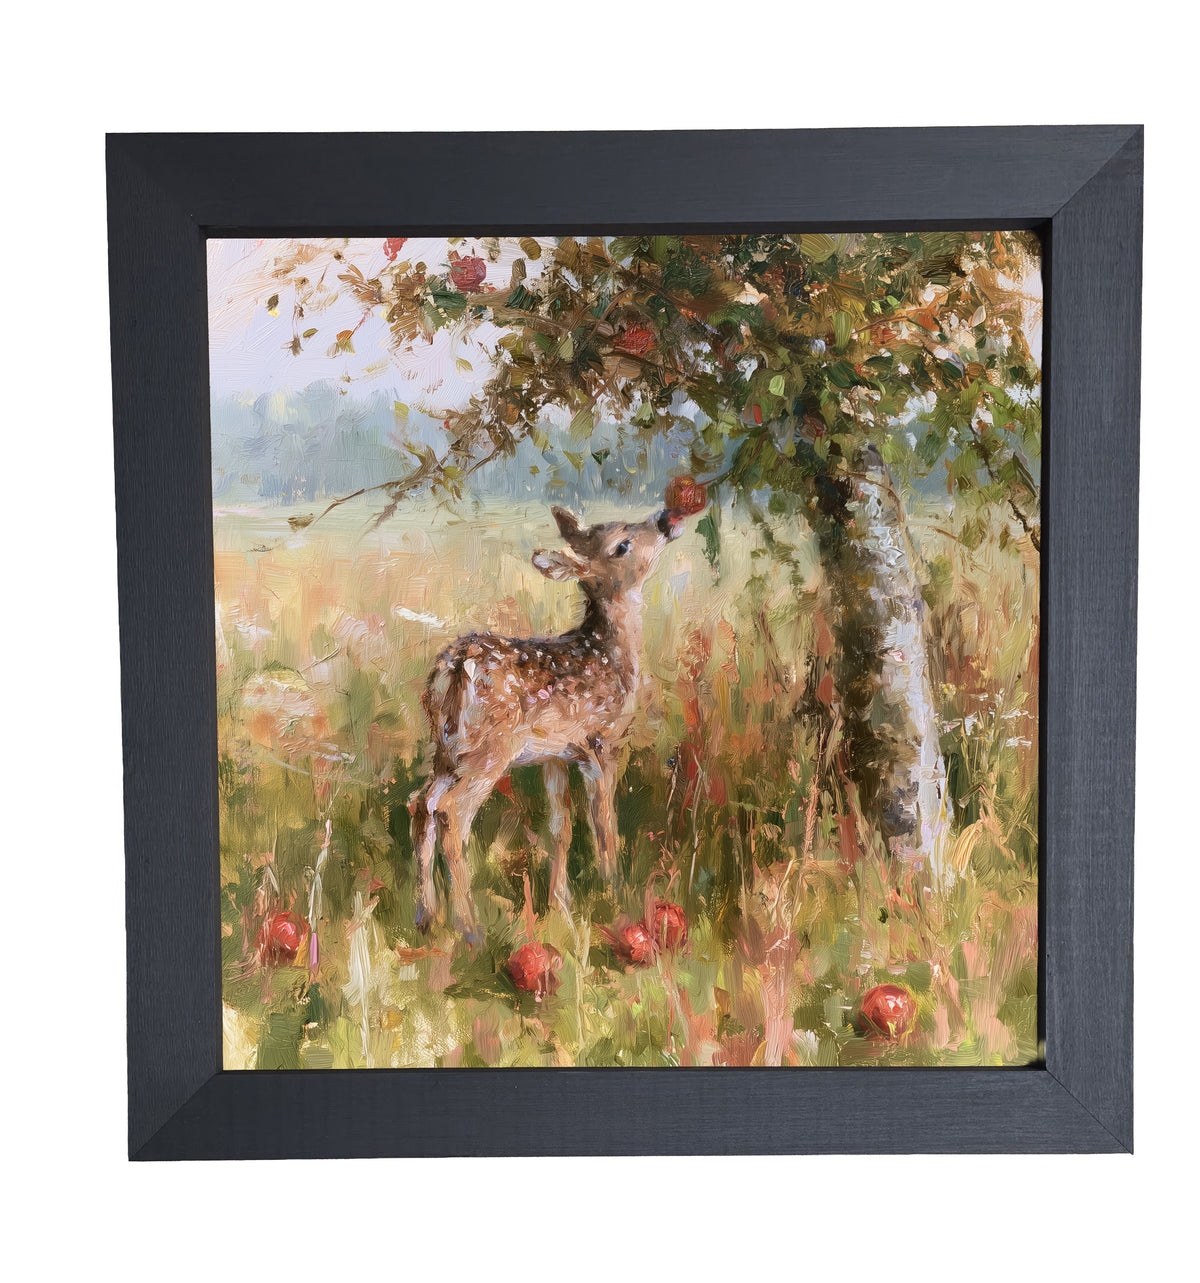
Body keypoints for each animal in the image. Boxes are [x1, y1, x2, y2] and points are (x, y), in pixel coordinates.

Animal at [409, 503, 692, 940]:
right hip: (490, 750)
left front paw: (561, 904)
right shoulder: (601, 741)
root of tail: (452, 669)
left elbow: (561, 827)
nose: (664, 519)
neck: (612, 656)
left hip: (447, 749)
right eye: (622, 545)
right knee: (451, 813)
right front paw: (613, 889)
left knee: (422, 804)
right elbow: (603, 821)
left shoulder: (553, 755)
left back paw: (426, 918)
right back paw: (470, 929)